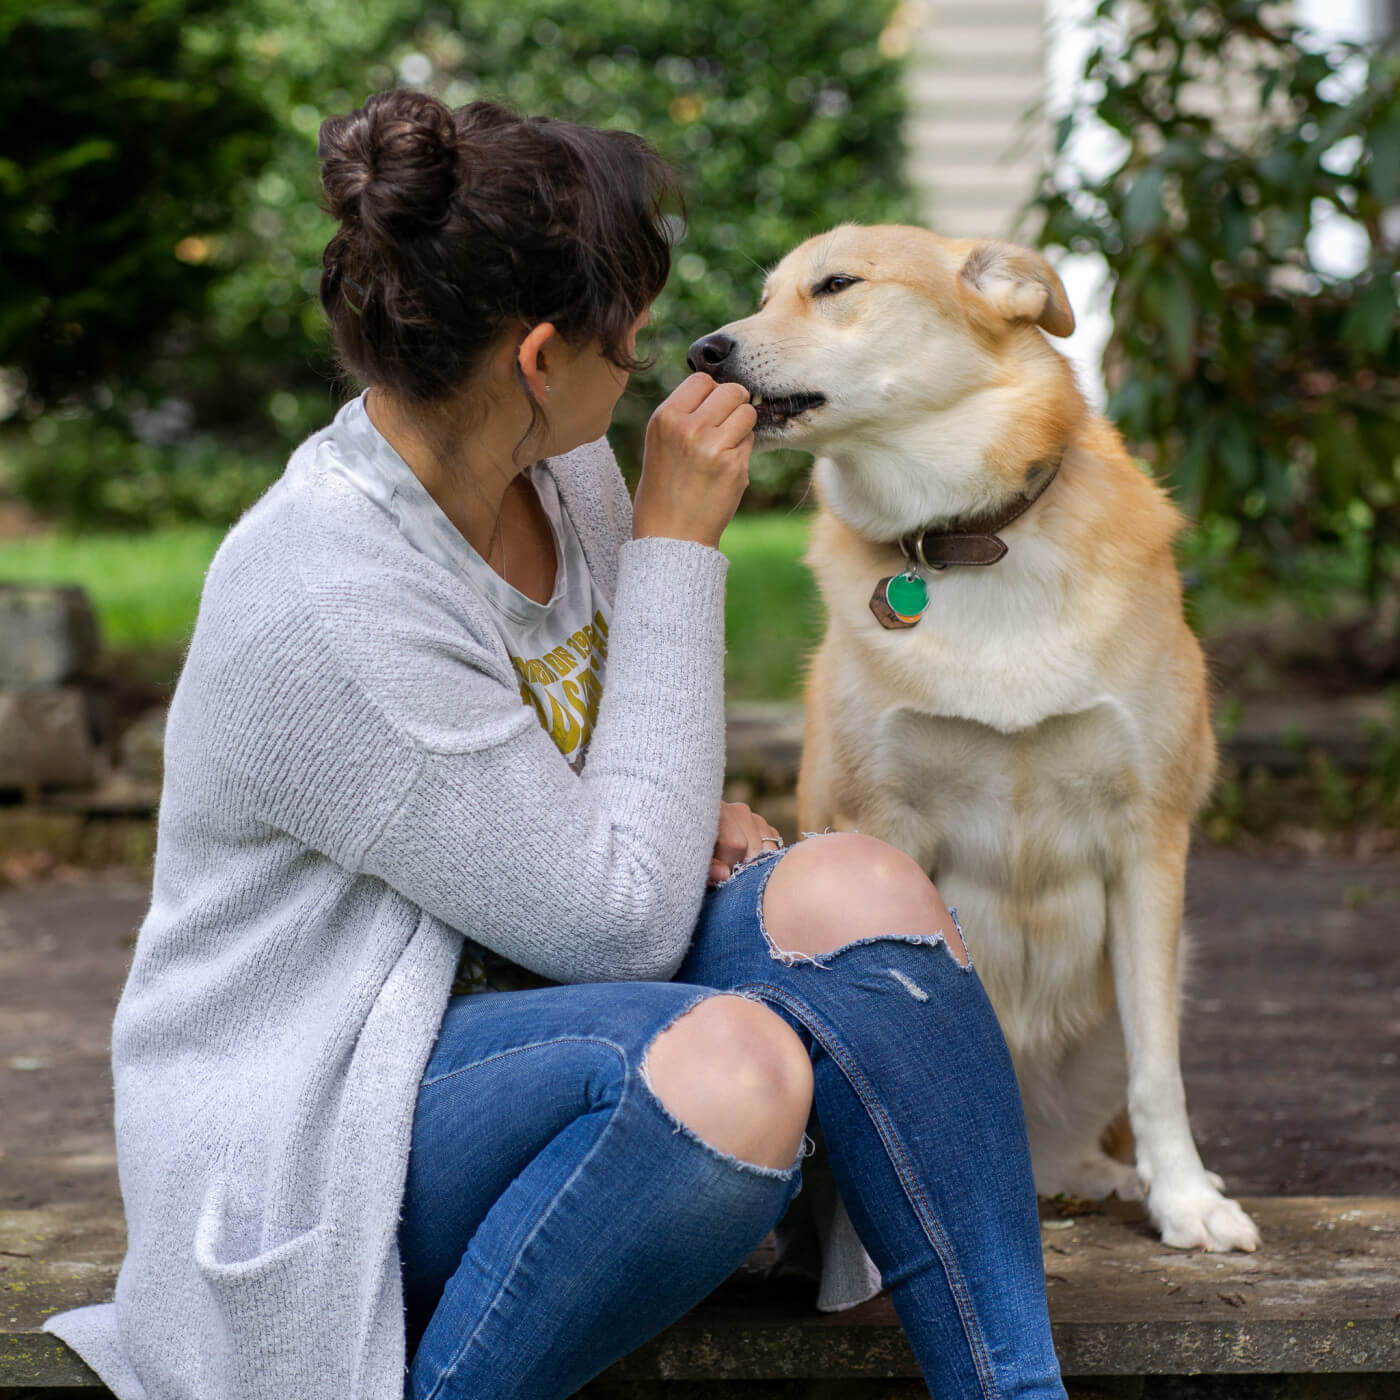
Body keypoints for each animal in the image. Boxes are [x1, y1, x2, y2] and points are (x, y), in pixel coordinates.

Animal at [686, 221, 1260, 1260]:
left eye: (836, 285)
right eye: (765, 294)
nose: (702, 351)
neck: (969, 540)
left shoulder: (1149, 843)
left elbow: (1159, 1068)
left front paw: (1187, 1198)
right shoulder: (880, 829)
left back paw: (1109, 1178)